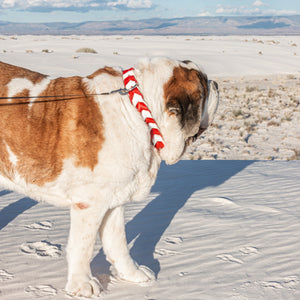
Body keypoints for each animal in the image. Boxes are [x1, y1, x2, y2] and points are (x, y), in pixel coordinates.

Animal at [0, 57, 218, 296]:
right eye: (205, 86)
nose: (216, 84)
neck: (137, 112)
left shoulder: (114, 198)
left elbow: (118, 242)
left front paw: (133, 274)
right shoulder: (90, 202)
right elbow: (82, 245)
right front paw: (82, 285)